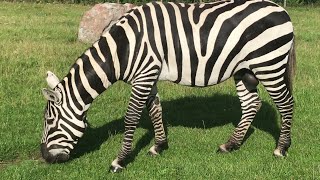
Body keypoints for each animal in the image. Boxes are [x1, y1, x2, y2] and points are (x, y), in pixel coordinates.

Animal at [40, 0, 296, 173]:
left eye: (49, 122)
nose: (45, 158)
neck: (122, 49)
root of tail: (280, 9)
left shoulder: (144, 75)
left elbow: (131, 117)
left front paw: (119, 161)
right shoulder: (148, 75)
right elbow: (155, 109)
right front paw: (159, 146)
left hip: (269, 63)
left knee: (286, 104)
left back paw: (281, 149)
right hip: (245, 70)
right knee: (251, 104)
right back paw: (230, 145)